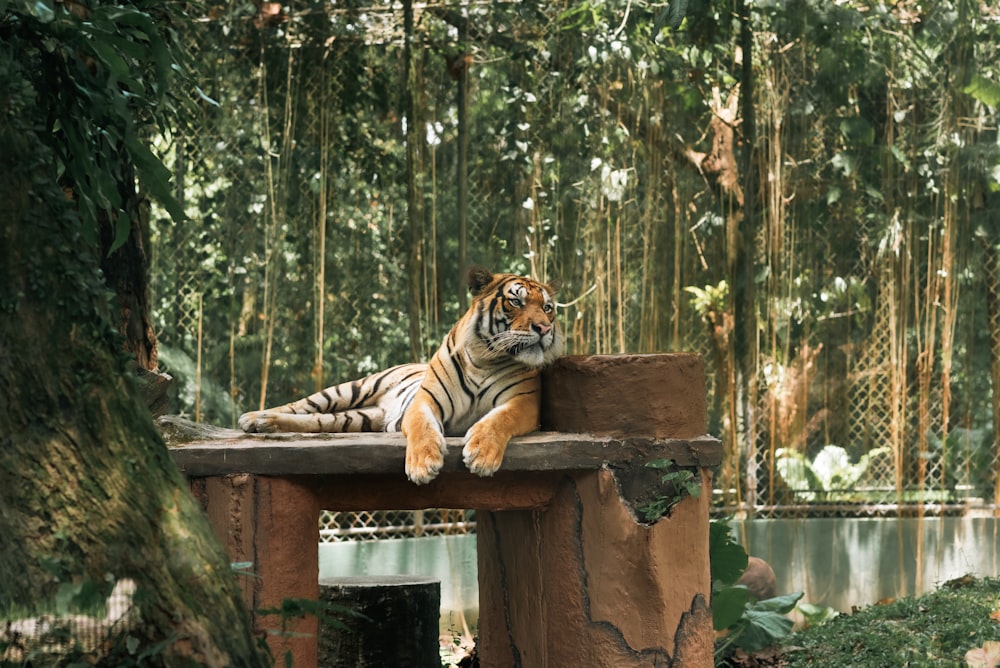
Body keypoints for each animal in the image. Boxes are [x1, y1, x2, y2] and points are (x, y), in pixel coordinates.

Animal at [237, 264, 560, 482]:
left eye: (547, 307)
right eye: (516, 301)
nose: (544, 328)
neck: (485, 358)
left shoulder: (524, 401)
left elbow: (497, 420)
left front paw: (481, 455)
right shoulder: (424, 401)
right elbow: (422, 427)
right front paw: (423, 464)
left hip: (355, 418)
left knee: (315, 421)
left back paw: (265, 424)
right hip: (350, 389)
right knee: (300, 406)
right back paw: (255, 418)